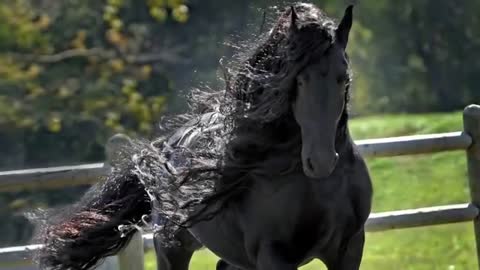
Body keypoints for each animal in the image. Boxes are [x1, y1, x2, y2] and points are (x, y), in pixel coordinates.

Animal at [33, 2, 374, 270]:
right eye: (298, 80)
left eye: (343, 78)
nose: (320, 161)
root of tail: (164, 148)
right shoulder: (275, 257)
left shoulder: (348, 249)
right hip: (172, 247)